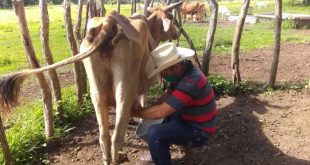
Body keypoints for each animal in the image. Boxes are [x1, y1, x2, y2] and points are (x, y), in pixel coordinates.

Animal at [0, 1, 184, 164]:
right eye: (170, 17)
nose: (177, 33)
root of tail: (110, 19)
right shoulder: (143, 83)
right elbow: (143, 100)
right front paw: (138, 119)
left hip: (96, 89)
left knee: (104, 136)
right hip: (124, 86)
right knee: (117, 134)